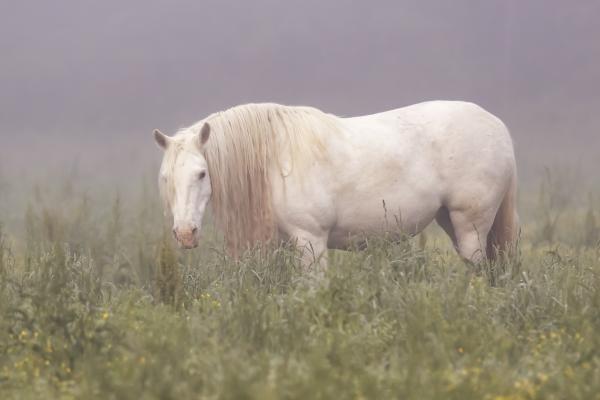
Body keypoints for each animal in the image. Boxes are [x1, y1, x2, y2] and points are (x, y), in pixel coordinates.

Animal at [154, 101, 516, 268]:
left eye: (202, 173)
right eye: (166, 178)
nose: (185, 233)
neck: (274, 161)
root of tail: (498, 127)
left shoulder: (311, 241)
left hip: (470, 224)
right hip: (450, 221)